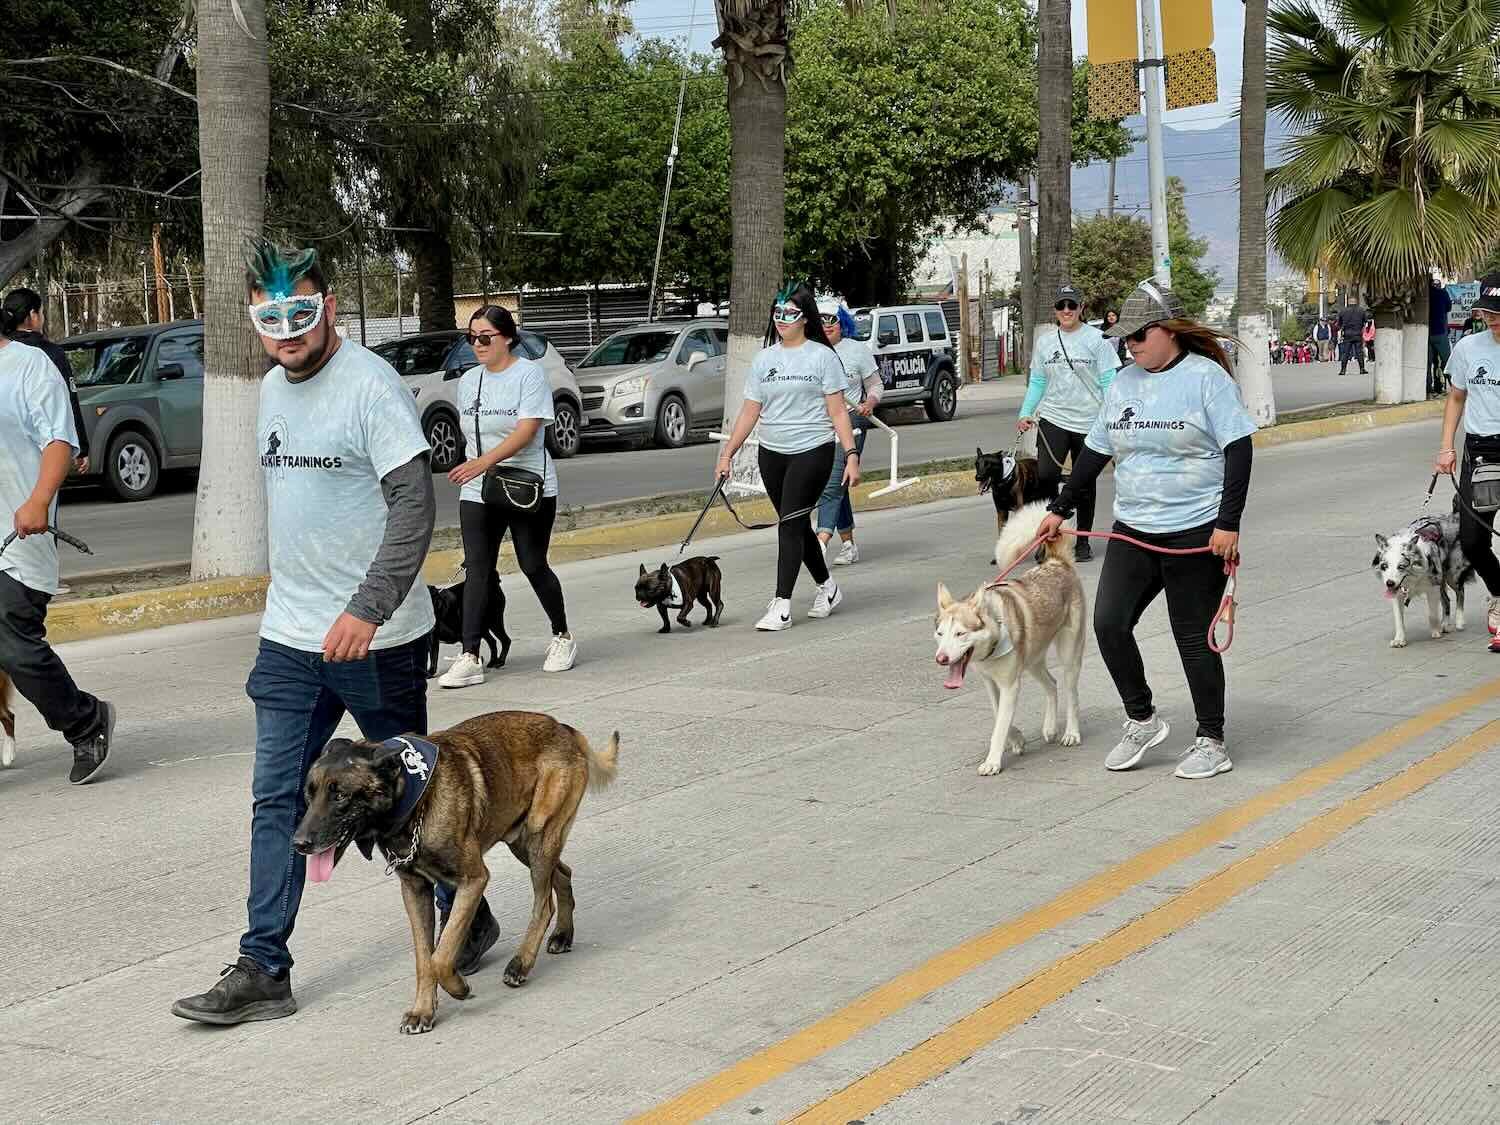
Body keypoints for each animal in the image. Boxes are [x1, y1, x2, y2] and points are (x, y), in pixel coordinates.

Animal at [289, 714, 618, 1038]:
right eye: (309, 794)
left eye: (341, 796)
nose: (298, 843)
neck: (414, 802)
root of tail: (563, 728)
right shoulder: (415, 891)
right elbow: (424, 958)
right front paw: (423, 1010)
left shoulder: (473, 880)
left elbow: (442, 955)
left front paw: (458, 987)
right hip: (523, 842)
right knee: (562, 874)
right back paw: (563, 934)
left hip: (539, 835)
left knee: (544, 903)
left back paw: (521, 964)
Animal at [930, 501, 1086, 774]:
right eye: (941, 634)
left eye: (960, 633)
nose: (942, 659)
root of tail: (1056, 562)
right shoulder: (991, 683)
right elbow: (997, 713)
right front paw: (1017, 739)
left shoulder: (1010, 685)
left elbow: (1000, 726)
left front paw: (992, 761)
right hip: (1033, 660)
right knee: (1051, 684)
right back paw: (1049, 727)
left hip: (1069, 654)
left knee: (1071, 692)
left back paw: (1071, 733)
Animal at [1374, 513, 1476, 648]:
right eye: (1384, 566)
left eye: (1401, 566)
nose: (1389, 583)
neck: (1412, 577)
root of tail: (1452, 517)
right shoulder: (1398, 592)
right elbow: (1398, 619)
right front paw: (1399, 639)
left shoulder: (1432, 587)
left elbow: (1431, 613)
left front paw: (1436, 631)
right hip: (1440, 579)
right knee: (1447, 600)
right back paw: (1445, 624)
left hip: (1450, 574)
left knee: (1460, 592)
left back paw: (1459, 621)